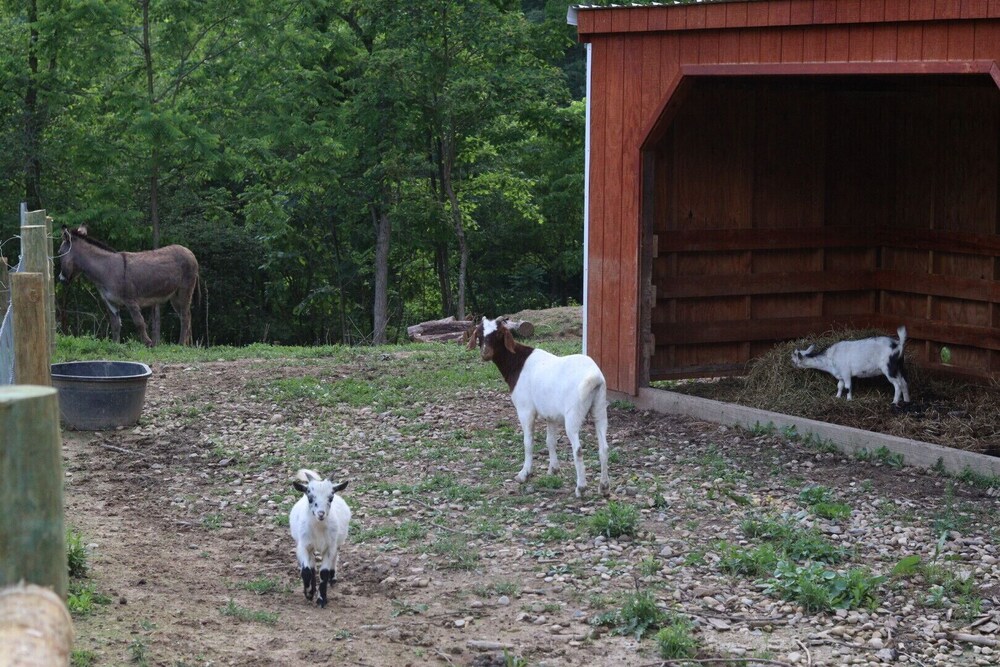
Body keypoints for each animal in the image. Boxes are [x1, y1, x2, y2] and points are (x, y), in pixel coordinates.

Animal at [290, 472, 352, 608]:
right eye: (310, 497)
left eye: (330, 498)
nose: (321, 514)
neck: (318, 528)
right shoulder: (303, 546)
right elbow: (306, 570)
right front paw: (309, 593)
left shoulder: (330, 547)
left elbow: (324, 572)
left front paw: (321, 599)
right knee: (312, 565)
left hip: (337, 542)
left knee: (335, 556)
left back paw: (332, 578)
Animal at [468, 318, 608, 496]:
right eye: (479, 333)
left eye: (499, 334)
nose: (485, 353)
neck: (517, 362)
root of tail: (594, 377)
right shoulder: (551, 415)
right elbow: (550, 441)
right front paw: (553, 470)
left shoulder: (525, 410)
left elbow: (528, 442)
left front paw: (524, 474)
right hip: (600, 408)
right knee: (604, 447)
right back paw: (604, 486)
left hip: (573, 414)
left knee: (578, 449)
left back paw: (581, 488)